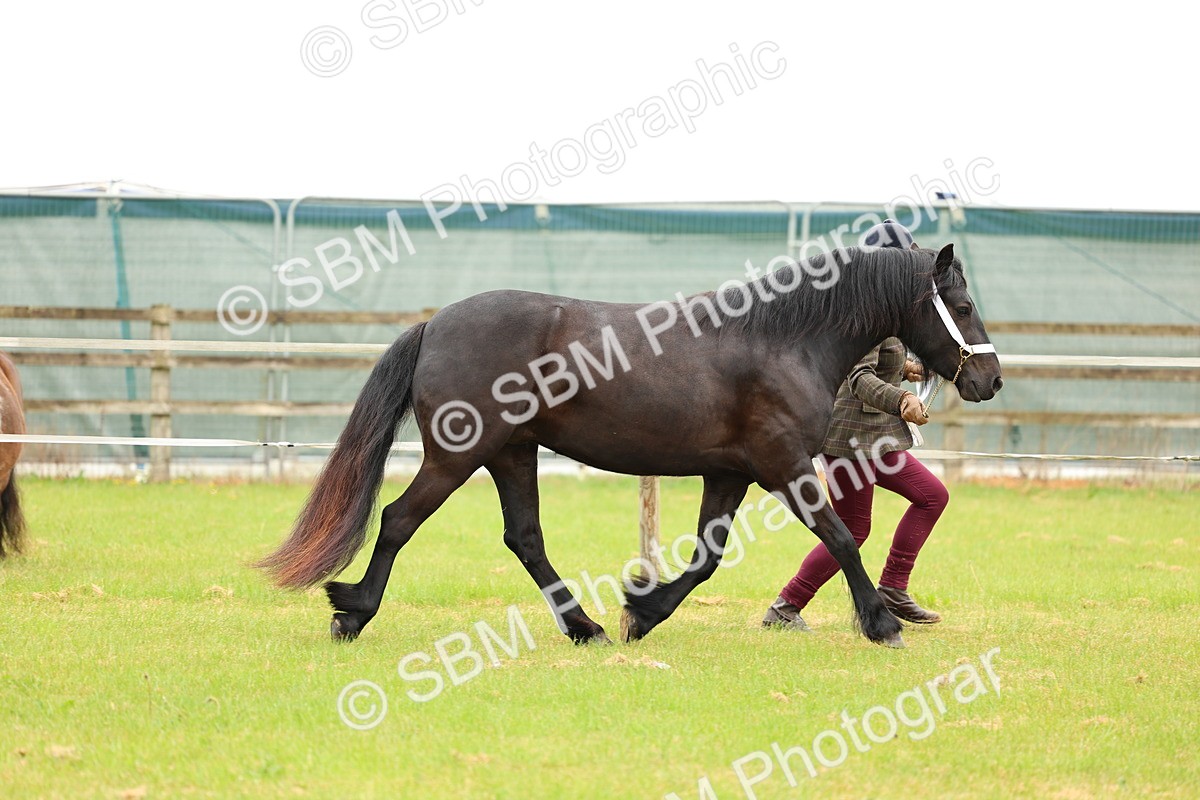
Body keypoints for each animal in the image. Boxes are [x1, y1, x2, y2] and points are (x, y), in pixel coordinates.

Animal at [256, 244, 1002, 648]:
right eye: (963, 307)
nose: (989, 378)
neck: (783, 339)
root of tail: (435, 325)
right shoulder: (784, 467)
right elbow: (842, 539)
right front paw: (882, 624)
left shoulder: (729, 475)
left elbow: (705, 558)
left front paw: (641, 612)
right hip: (458, 457)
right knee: (397, 520)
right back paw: (352, 612)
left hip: (511, 454)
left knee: (524, 538)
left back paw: (583, 627)